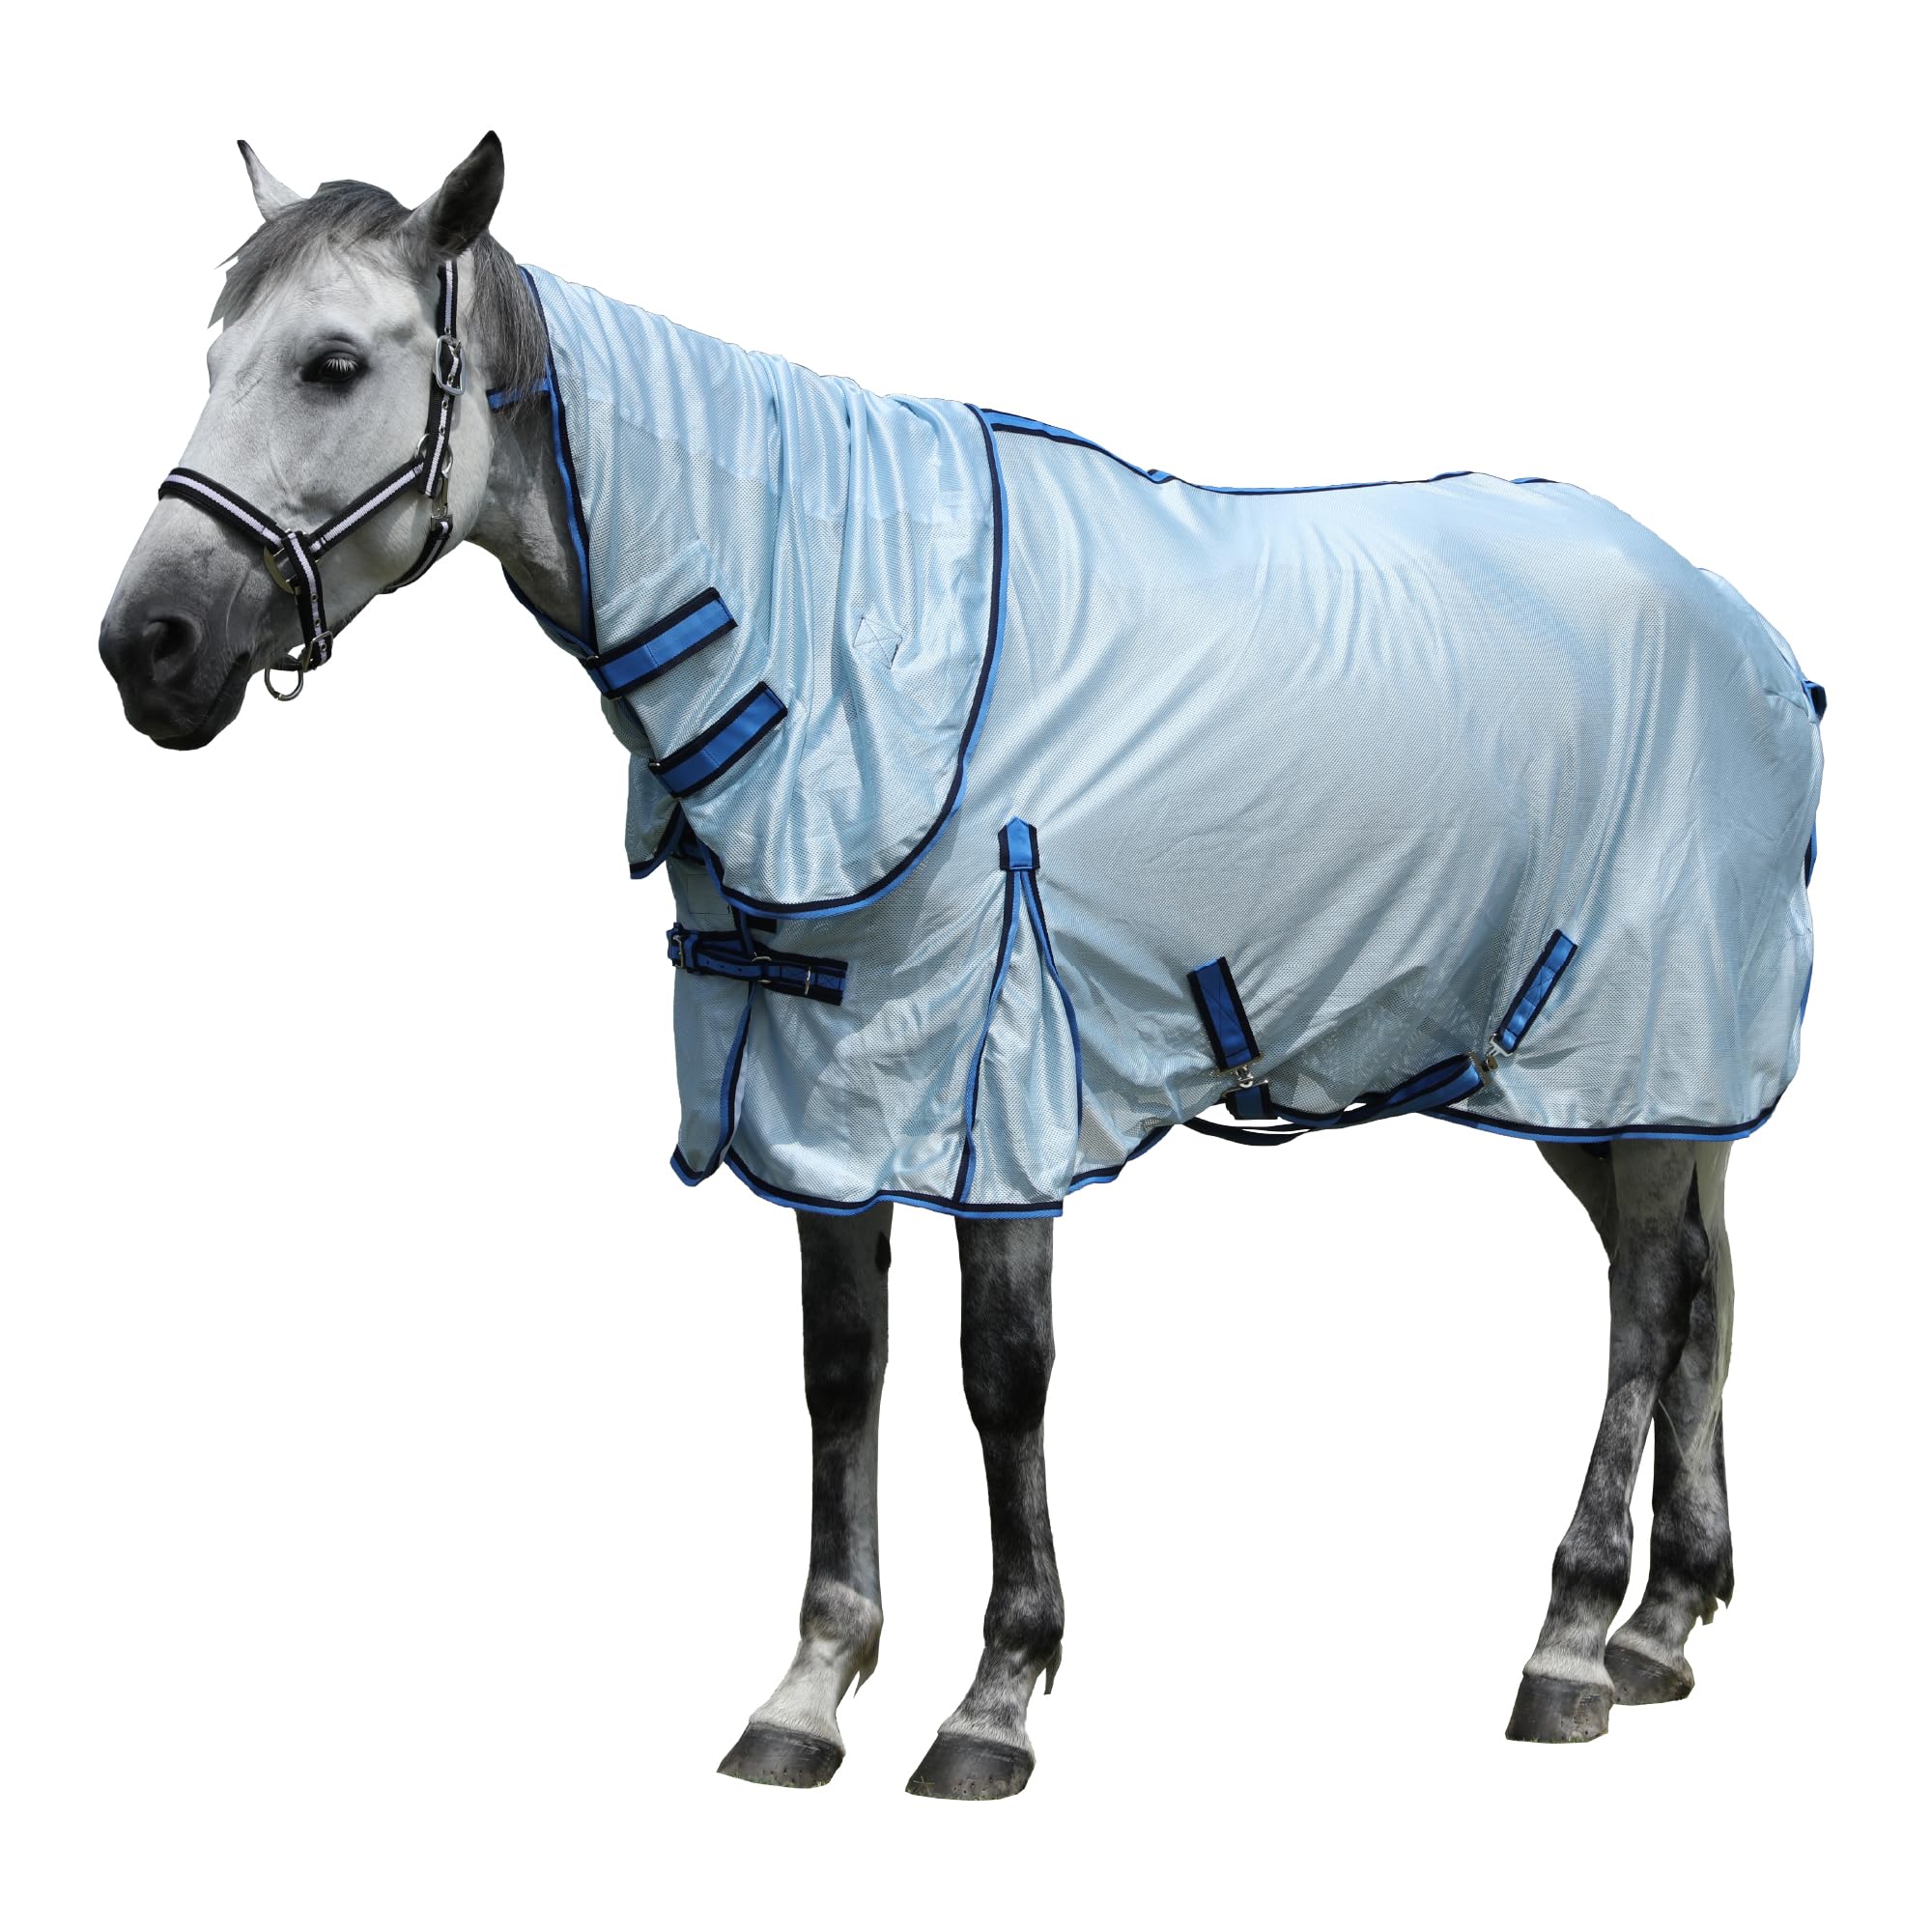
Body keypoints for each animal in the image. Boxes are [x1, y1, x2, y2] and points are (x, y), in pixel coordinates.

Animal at [99, 133, 1823, 1797]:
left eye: (331, 363)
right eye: (214, 352)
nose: (147, 648)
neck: (833, 628)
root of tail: (1752, 635)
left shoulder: (1000, 1067)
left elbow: (1004, 1374)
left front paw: (997, 1697)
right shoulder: (824, 1085)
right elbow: (840, 1372)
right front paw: (810, 1690)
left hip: (1634, 1035)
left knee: (1648, 1301)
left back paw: (1569, 1643)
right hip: (1625, 1085)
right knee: (1698, 1289)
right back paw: (1662, 1623)